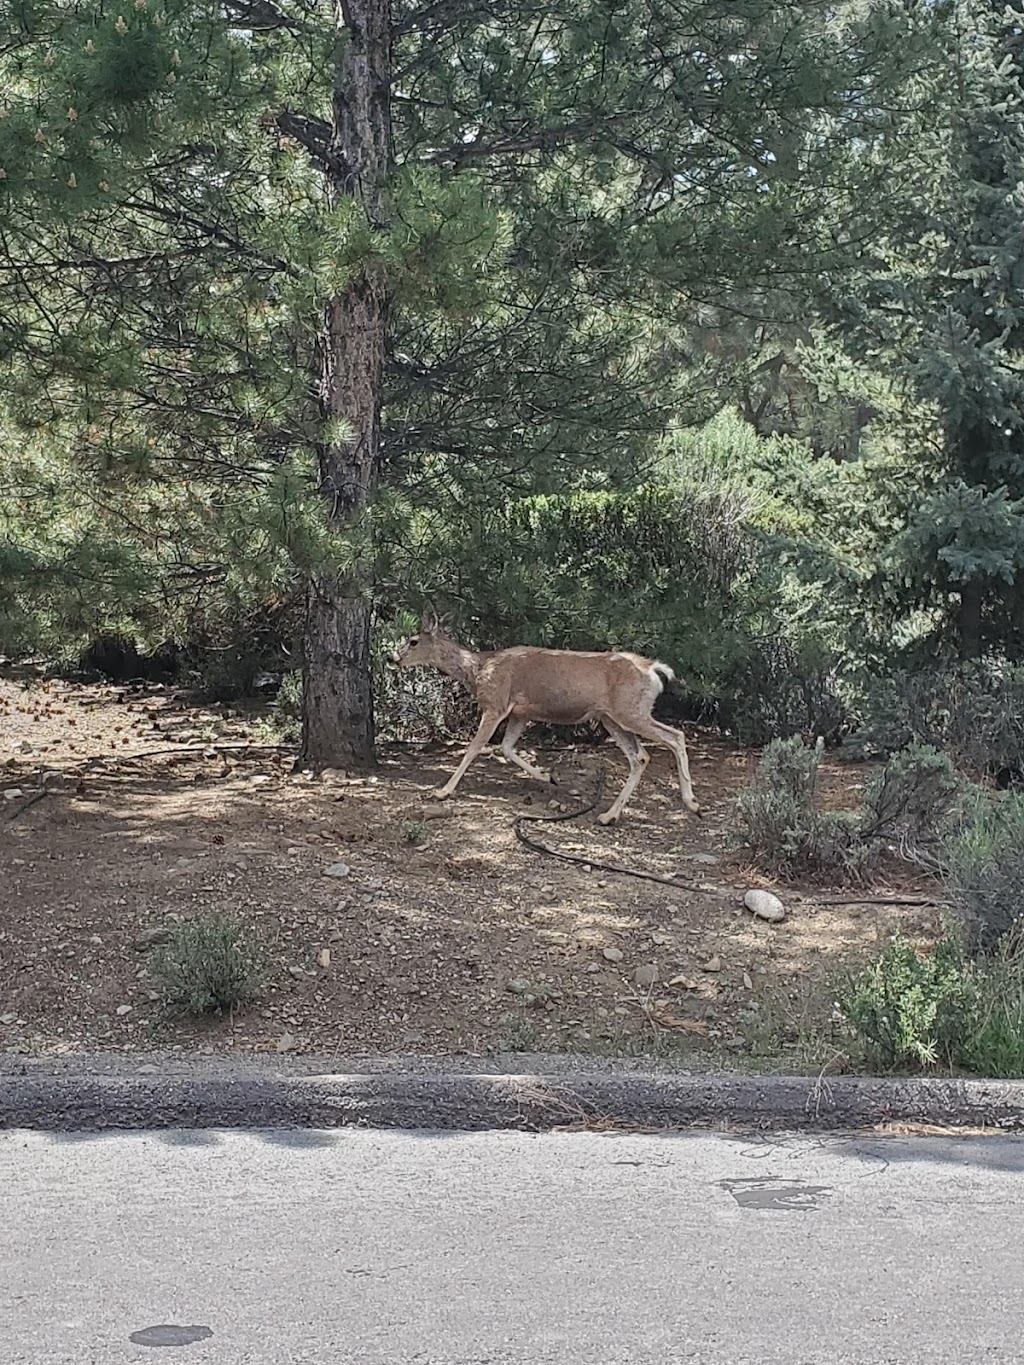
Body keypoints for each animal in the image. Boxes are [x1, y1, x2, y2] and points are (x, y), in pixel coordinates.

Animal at [387, 614, 704, 824]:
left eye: (413, 641)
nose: (392, 658)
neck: (478, 670)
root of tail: (653, 670)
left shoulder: (496, 704)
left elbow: (474, 748)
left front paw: (443, 791)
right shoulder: (520, 713)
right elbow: (506, 748)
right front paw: (547, 776)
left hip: (630, 710)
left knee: (676, 737)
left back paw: (691, 802)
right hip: (611, 718)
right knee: (640, 756)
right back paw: (608, 815)